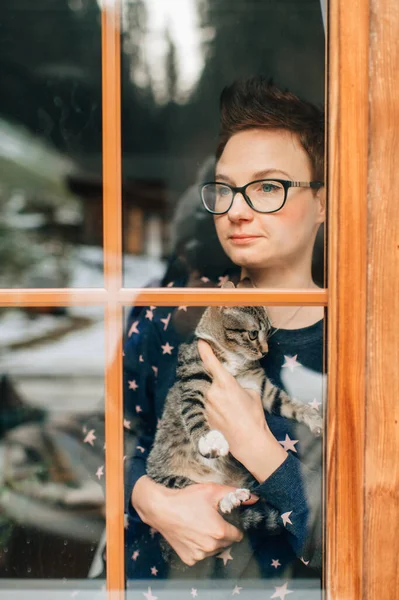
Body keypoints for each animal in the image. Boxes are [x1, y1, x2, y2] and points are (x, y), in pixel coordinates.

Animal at [146, 282, 322, 564]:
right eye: (252, 334)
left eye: (268, 334)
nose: (265, 351)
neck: (234, 361)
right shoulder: (193, 380)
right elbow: (193, 414)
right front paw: (208, 438)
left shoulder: (261, 389)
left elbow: (289, 403)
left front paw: (314, 417)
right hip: (175, 484)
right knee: (207, 505)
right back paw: (227, 499)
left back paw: (232, 499)